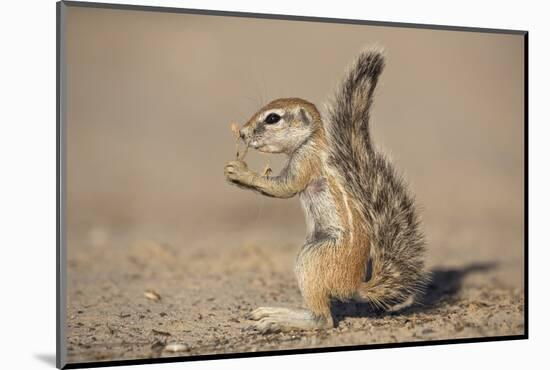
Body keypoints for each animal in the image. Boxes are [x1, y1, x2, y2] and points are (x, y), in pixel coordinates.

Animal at [225, 47, 432, 334]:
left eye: (273, 118)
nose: (243, 133)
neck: (312, 141)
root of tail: (354, 285)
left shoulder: (305, 163)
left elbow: (284, 188)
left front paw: (240, 171)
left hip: (313, 258)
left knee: (323, 319)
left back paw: (278, 319)